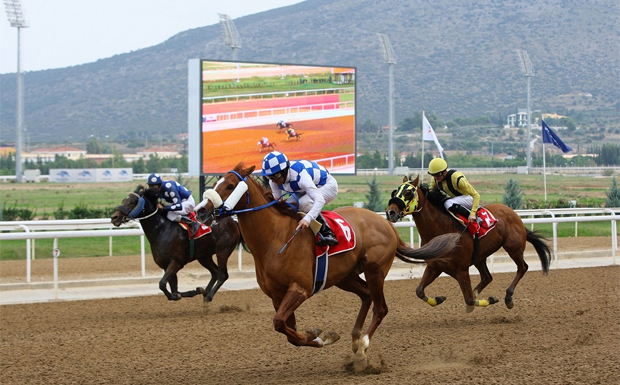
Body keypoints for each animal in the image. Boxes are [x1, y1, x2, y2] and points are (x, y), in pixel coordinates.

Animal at [110, 184, 241, 302]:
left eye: (132, 202)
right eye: (124, 200)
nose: (114, 217)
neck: (162, 230)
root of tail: (233, 221)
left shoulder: (176, 262)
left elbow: (162, 284)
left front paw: (178, 295)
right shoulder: (165, 265)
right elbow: (174, 289)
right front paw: (192, 291)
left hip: (222, 251)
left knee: (222, 275)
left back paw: (209, 296)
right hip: (204, 256)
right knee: (215, 272)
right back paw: (205, 291)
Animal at [194, 163, 460, 372]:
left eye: (229, 186)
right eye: (216, 182)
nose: (201, 210)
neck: (275, 238)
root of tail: (386, 223)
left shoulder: (299, 289)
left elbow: (280, 323)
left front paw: (322, 337)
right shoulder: (276, 295)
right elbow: (287, 330)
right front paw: (319, 335)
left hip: (374, 269)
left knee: (381, 308)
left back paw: (362, 348)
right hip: (345, 277)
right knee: (366, 296)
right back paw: (355, 339)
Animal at [382, 176, 552, 312]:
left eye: (408, 193)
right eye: (394, 192)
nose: (390, 212)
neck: (441, 230)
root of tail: (513, 214)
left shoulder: (461, 270)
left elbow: (469, 299)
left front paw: (490, 299)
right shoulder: (435, 266)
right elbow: (419, 291)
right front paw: (439, 299)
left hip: (513, 247)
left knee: (523, 267)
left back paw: (508, 297)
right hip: (479, 257)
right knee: (487, 277)